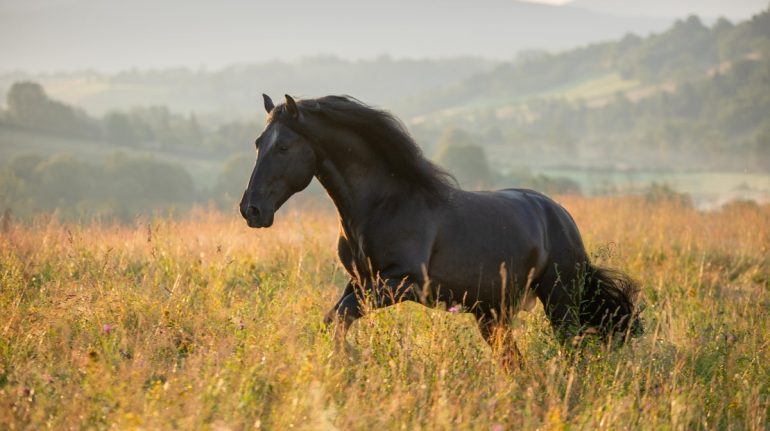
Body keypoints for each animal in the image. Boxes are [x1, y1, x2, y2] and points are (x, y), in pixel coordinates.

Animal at [240, 94, 640, 368]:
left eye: (284, 146)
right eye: (258, 143)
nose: (251, 209)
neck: (383, 204)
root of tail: (561, 217)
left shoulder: (400, 282)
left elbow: (340, 317)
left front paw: (349, 362)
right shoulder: (359, 281)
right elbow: (333, 320)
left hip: (559, 300)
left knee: (572, 347)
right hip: (491, 313)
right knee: (513, 360)